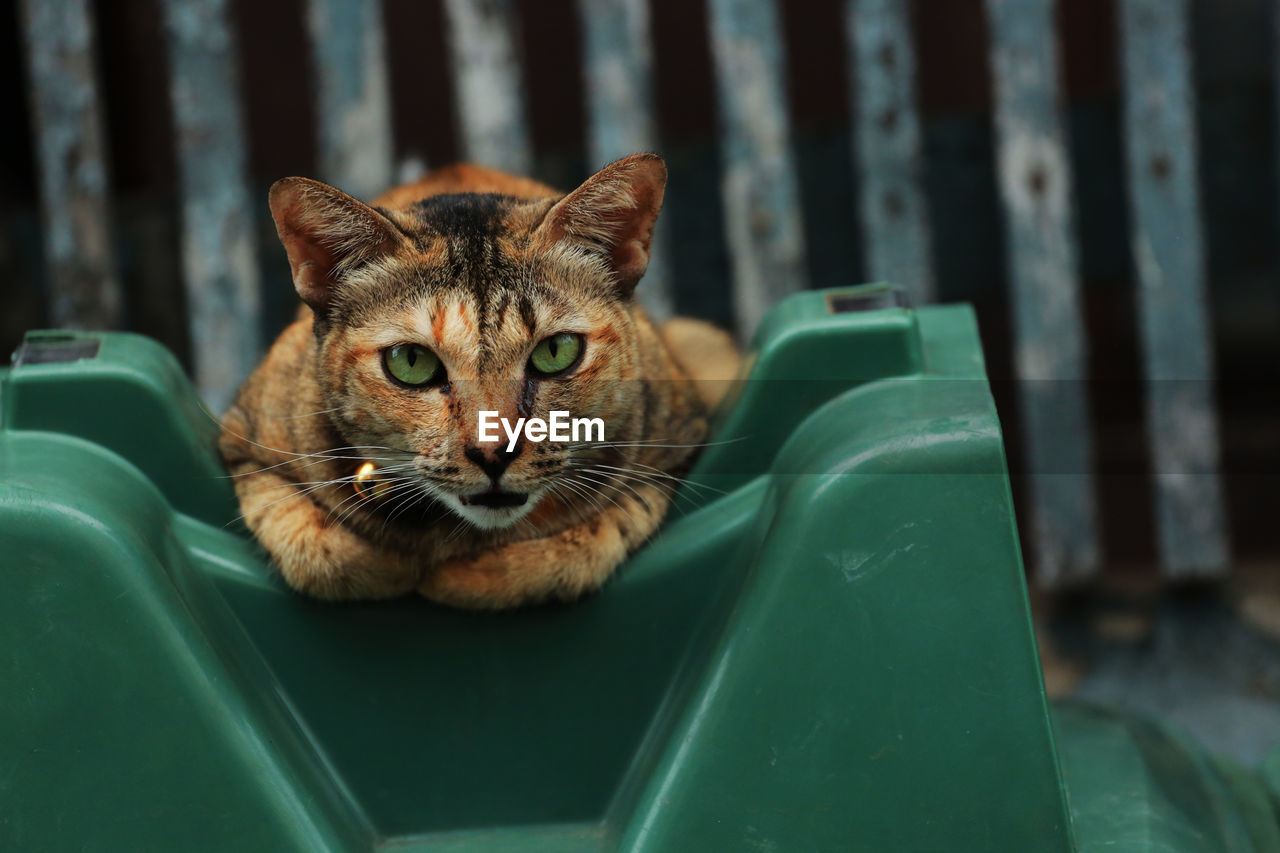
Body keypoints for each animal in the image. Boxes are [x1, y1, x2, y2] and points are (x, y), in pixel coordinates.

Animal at [220, 153, 742, 604]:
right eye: (411, 361)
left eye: (556, 352)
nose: (494, 454)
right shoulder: (243, 441)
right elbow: (317, 545)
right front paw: (396, 566)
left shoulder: (675, 444)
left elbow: (589, 538)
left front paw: (464, 578)